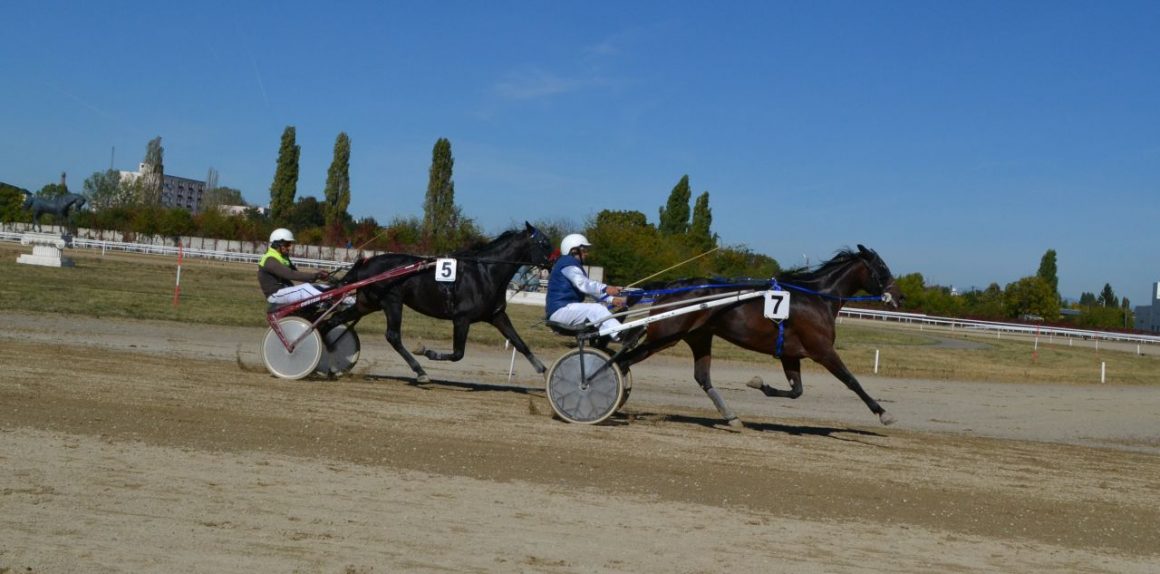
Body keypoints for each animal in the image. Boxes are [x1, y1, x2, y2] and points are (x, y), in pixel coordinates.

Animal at [338, 222, 552, 384]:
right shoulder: (461, 318)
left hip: (367, 304)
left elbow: (520, 343)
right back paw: (420, 372)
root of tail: (366, 264)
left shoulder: (496, 315)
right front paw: (427, 351)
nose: (553, 264)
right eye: (545, 244)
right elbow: (458, 354)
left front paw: (544, 371)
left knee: (336, 320)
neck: (485, 272)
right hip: (391, 301)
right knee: (393, 336)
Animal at [617, 244, 904, 429]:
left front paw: (759, 384)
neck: (818, 298)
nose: (900, 296)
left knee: (702, 377)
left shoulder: (790, 354)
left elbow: (796, 391)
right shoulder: (822, 351)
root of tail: (670, 285)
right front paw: (883, 413)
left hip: (697, 337)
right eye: (882, 267)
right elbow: (852, 381)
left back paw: (731, 417)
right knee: (623, 361)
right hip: (666, 336)